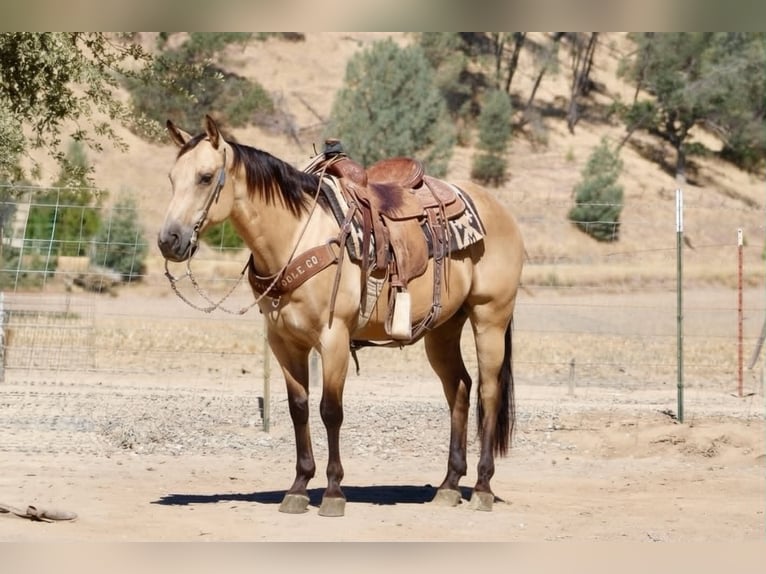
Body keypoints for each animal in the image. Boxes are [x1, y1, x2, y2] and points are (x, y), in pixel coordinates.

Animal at [158, 115, 524, 517]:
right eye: (171, 178)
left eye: (206, 177)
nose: (169, 240)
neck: (296, 236)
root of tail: (500, 210)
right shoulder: (284, 343)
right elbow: (299, 409)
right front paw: (298, 487)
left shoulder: (333, 339)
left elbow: (330, 410)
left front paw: (333, 492)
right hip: (442, 329)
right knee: (458, 389)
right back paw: (448, 485)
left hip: (489, 318)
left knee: (488, 393)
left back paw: (483, 488)